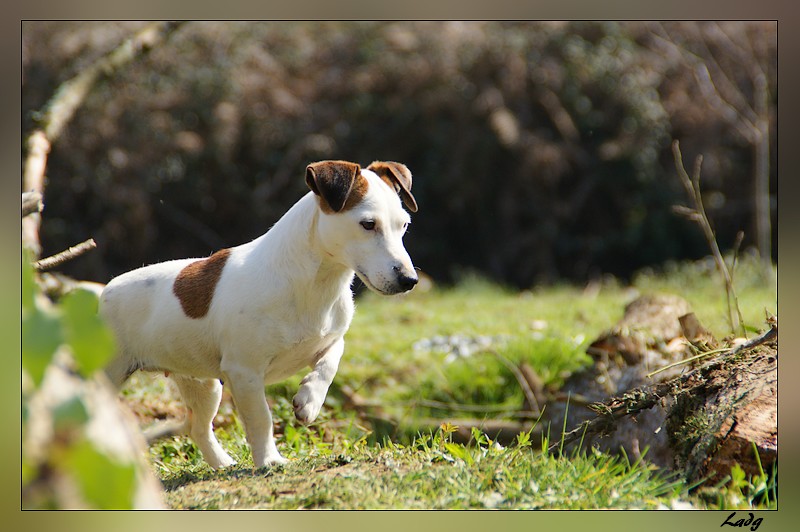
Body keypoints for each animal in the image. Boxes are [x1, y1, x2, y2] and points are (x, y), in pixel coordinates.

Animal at [100, 160, 418, 468]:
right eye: (368, 224)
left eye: (404, 225)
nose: (409, 280)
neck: (316, 282)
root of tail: (102, 294)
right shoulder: (245, 371)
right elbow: (261, 418)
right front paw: (269, 459)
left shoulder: (328, 340)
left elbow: (330, 362)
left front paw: (310, 400)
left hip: (203, 384)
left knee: (198, 428)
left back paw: (222, 464)